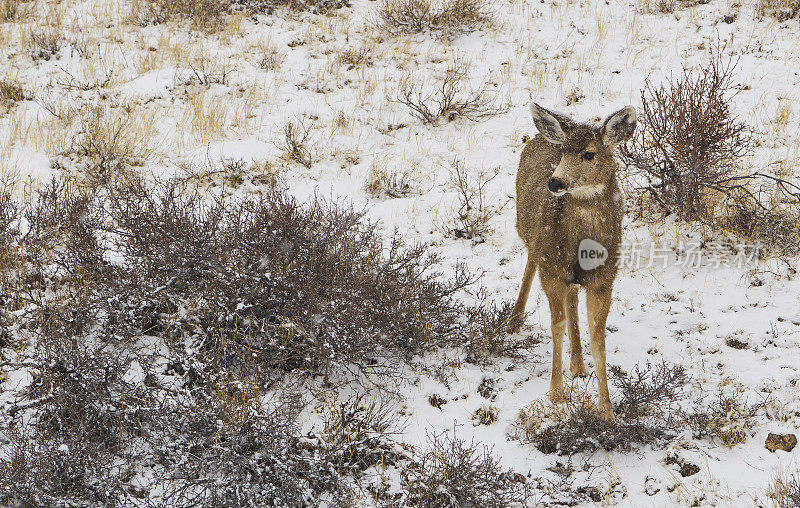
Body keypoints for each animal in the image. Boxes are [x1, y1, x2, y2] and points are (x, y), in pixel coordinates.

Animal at [512, 101, 636, 418]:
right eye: (563, 151)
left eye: (589, 154)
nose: (555, 182)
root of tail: (539, 135)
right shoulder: (551, 270)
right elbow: (556, 326)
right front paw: (556, 394)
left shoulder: (604, 280)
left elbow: (598, 337)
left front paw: (607, 410)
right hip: (531, 237)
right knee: (530, 267)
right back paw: (513, 320)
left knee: (573, 298)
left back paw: (578, 365)